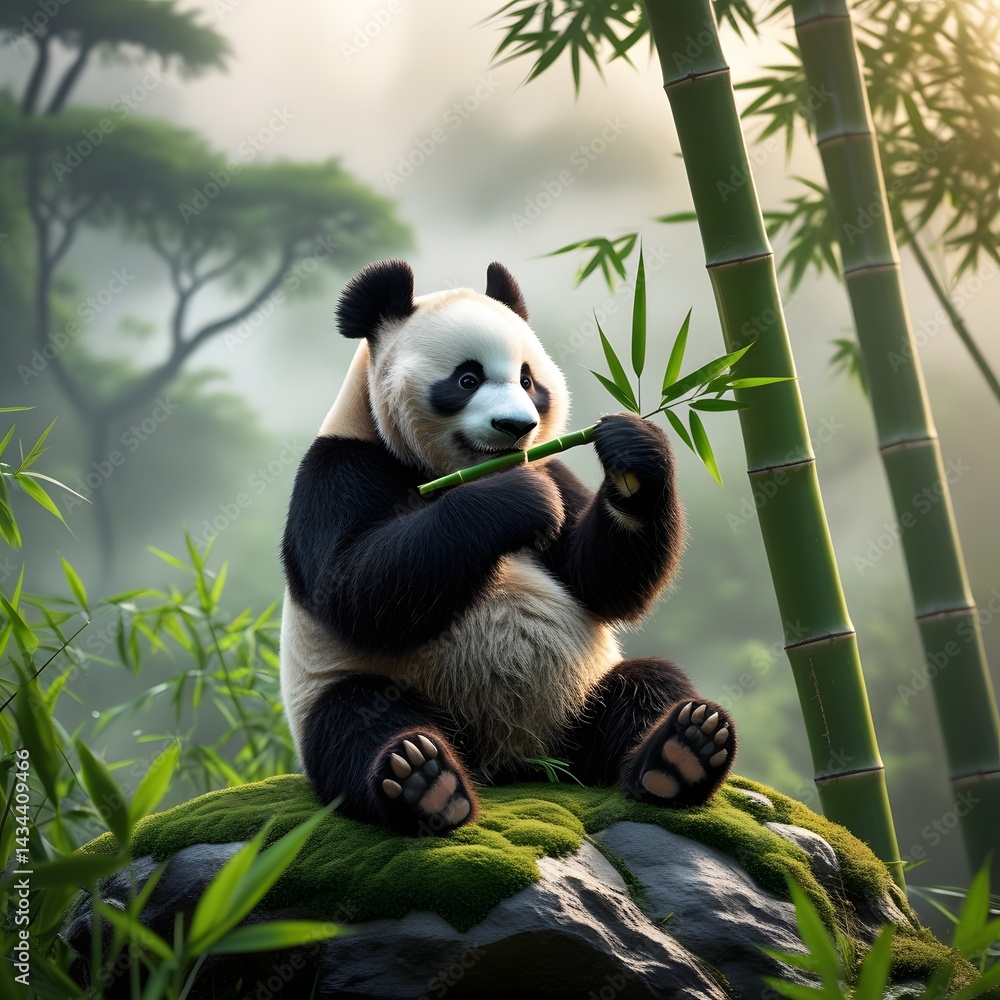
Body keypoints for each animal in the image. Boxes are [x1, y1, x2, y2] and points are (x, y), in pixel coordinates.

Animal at [280, 259, 736, 836]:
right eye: (467, 379)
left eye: (527, 380)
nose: (517, 426)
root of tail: (517, 763)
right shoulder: (338, 470)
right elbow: (355, 591)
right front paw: (513, 500)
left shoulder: (551, 466)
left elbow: (600, 583)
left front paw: (634, 455)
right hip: (361, 688)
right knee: (354, 719)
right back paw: (426, 784)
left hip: (579, 703)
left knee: (649, 685)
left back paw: (680, 754)